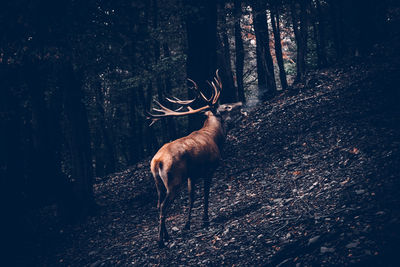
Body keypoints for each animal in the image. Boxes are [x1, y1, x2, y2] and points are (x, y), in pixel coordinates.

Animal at [147, 71, 241, 249]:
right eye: (227, 106)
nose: (239, 102)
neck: (215, 137)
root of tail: (157, 162)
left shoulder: (192, 175)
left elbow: (192, 198)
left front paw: (187, 224)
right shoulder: (209, 169)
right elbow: (205, 194)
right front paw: (205, 220)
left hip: (158, 183)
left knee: (157, 205)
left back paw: (166, 235)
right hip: (174, 181)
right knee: (163, 207)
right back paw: (161, 240)